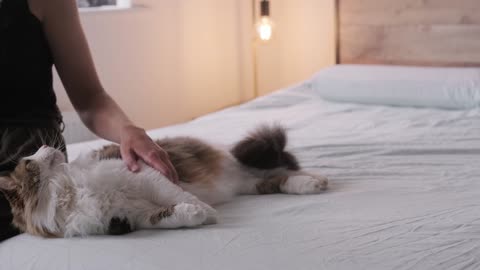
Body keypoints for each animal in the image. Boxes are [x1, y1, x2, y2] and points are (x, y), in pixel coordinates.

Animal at [0, 124, 326, 236]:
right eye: (29, 161)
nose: (47, 145)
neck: (70, 192)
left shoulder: (145, 176)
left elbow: (177, 196)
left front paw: (207, 212)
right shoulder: (127, 216)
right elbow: (166, 216)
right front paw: (197, 215)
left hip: (245, 164)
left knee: (279, 169)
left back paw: (317, 180)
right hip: (249, 184)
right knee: (275, 179)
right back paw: (310, 184)